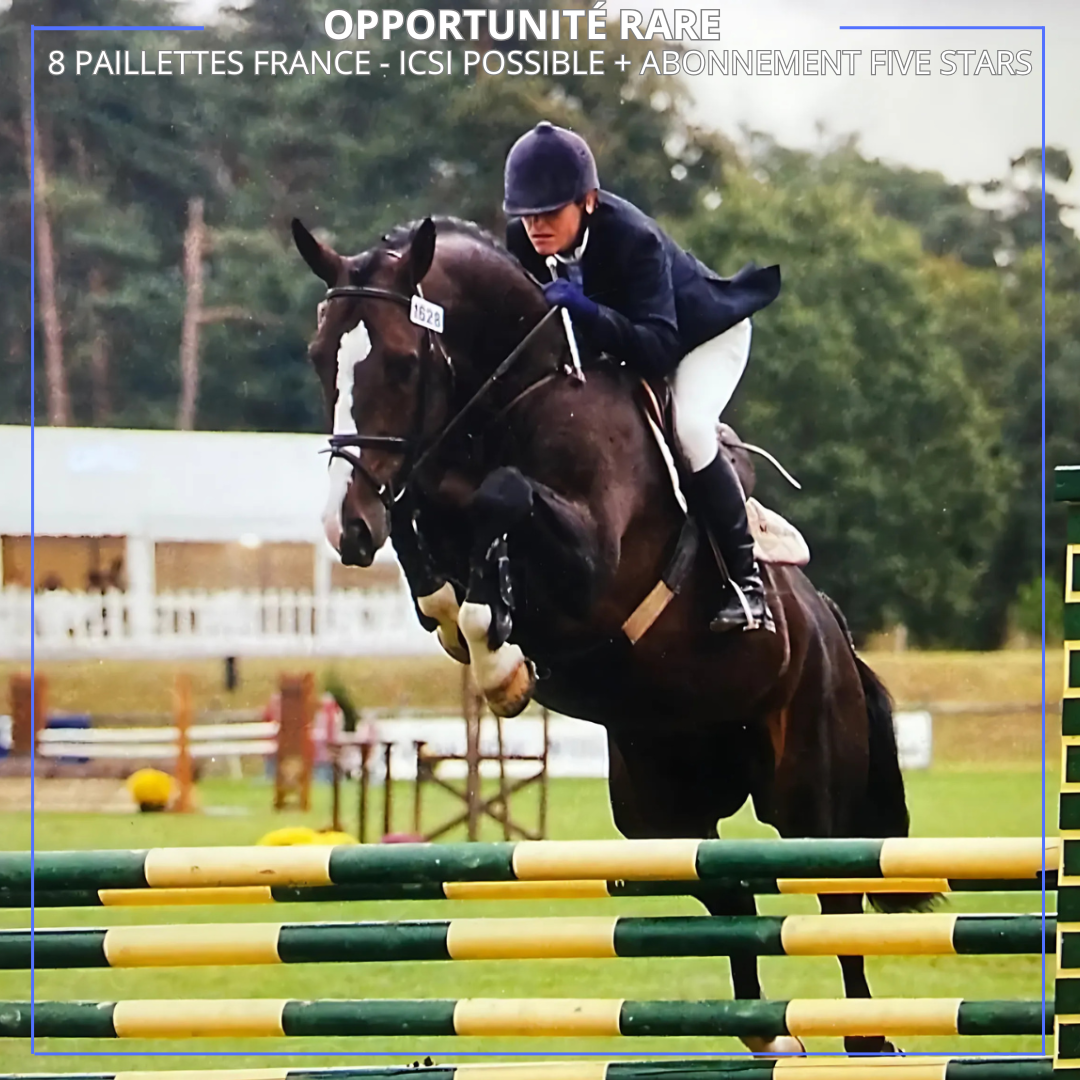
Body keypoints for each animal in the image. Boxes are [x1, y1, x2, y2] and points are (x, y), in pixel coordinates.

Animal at [292, 214, 925, 1057]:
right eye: (319, 356)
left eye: (400, 362)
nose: (345, 527)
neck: (515, 397)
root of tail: (837, 637)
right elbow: (433, 534)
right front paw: (472, 627)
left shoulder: (594, 566)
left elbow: (500, 496)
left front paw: (498, 658)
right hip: (660, 803)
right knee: (726, 886)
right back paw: (767, 1036)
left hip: (806, 776)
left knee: (835, 889)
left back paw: (865, 1037)